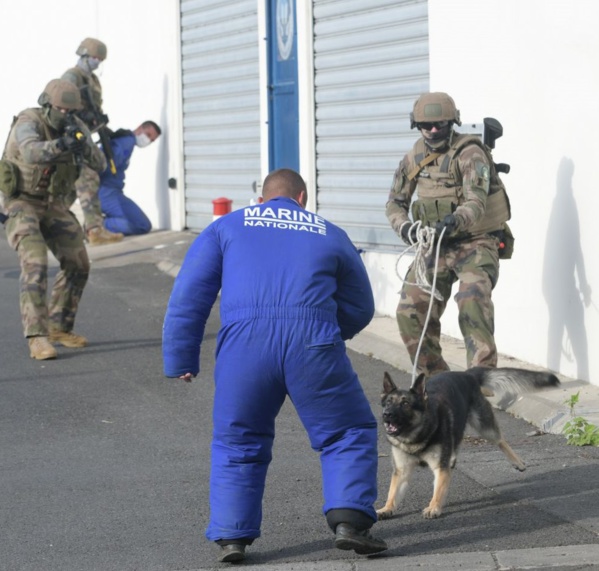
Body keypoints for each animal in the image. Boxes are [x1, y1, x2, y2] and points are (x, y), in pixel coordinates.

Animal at [378, 368, 560, 520]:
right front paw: (387, 508)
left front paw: (434, 507)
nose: (386, 414)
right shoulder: (402, 471)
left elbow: (438, 490)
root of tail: (466, 374)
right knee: (456, 443)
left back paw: (517, 462)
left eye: (405, 404)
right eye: (388, 402)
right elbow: (392, 493)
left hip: (484, 427)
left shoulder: (440, 468)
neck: (417, 436)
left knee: (500, 439)